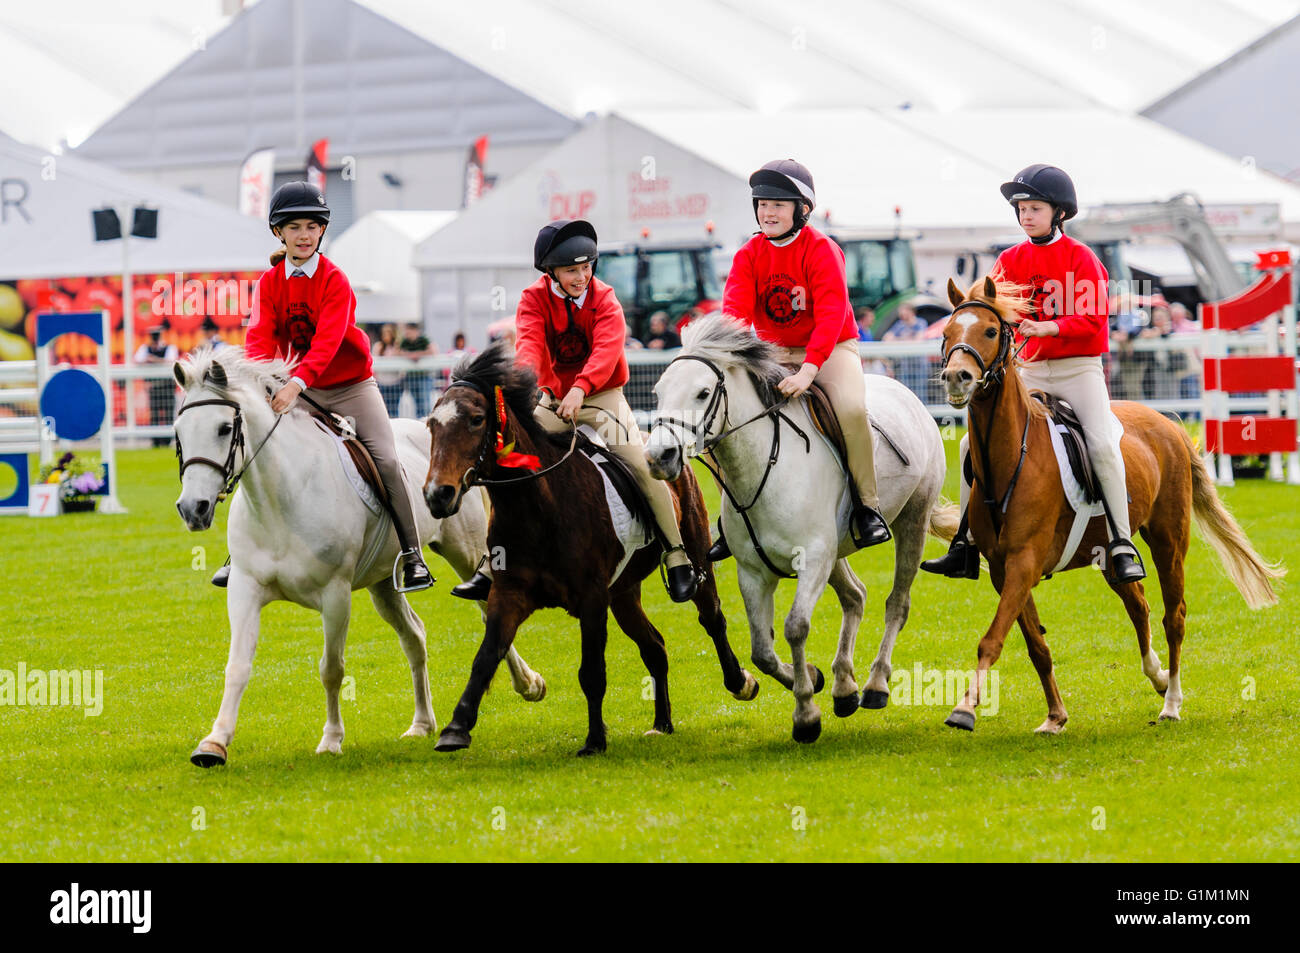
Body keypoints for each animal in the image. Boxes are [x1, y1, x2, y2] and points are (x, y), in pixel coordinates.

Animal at [172, 348, 543, 764]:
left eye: (224, 428)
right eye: (178, 432)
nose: (193, 508)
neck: (280, 496)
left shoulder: (335, 596)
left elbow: (332, 668)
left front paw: (331, 739)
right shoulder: (245, 590)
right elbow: (237, 666)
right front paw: (214, 743)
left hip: (465, 551)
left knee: (487, 609)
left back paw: (529, 684)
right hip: (384, 584)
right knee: (414, 636)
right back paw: (421, 723)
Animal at [421, 338, 759, 754]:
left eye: (475, 419)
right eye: (431, 425)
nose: (438, 495)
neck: (537, 508)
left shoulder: (592, 598)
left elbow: (592, 671)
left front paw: (595, 739)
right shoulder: (510, 593)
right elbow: (486, 656)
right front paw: (456, 726)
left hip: (695, 556)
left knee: (711, 617)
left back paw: (740, 681)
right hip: (624, 593)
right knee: (655, 647)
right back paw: (661, 722)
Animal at [647, 319, 961, 743]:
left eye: (703, 393)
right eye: (659, 392)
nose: (657, 457)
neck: (764, 468)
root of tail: (906, 393)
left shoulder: (812, 559)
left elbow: (795, 627)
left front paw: (806, 715)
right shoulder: (754, 572)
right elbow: (761, 651)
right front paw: (812, 678)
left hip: (910, 522)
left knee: (897, 603)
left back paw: (875, 686)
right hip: (837, 551)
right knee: (855, 596)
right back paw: (844, 688)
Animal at [941, 278, 1284, 733]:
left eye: (991, 331)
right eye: (947, 333)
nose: (956, 378)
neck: (1011, 458)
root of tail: (1168, 424)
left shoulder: (1023, 563)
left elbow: (992, 638)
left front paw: (964, 708)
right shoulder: (1002, 569)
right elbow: (1036, 646)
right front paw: (1055, 715)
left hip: (1168, 542)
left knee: (1173, 617)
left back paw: (1171, 702)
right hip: (1107, 551)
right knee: (1138, 604)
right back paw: (1157, 677)